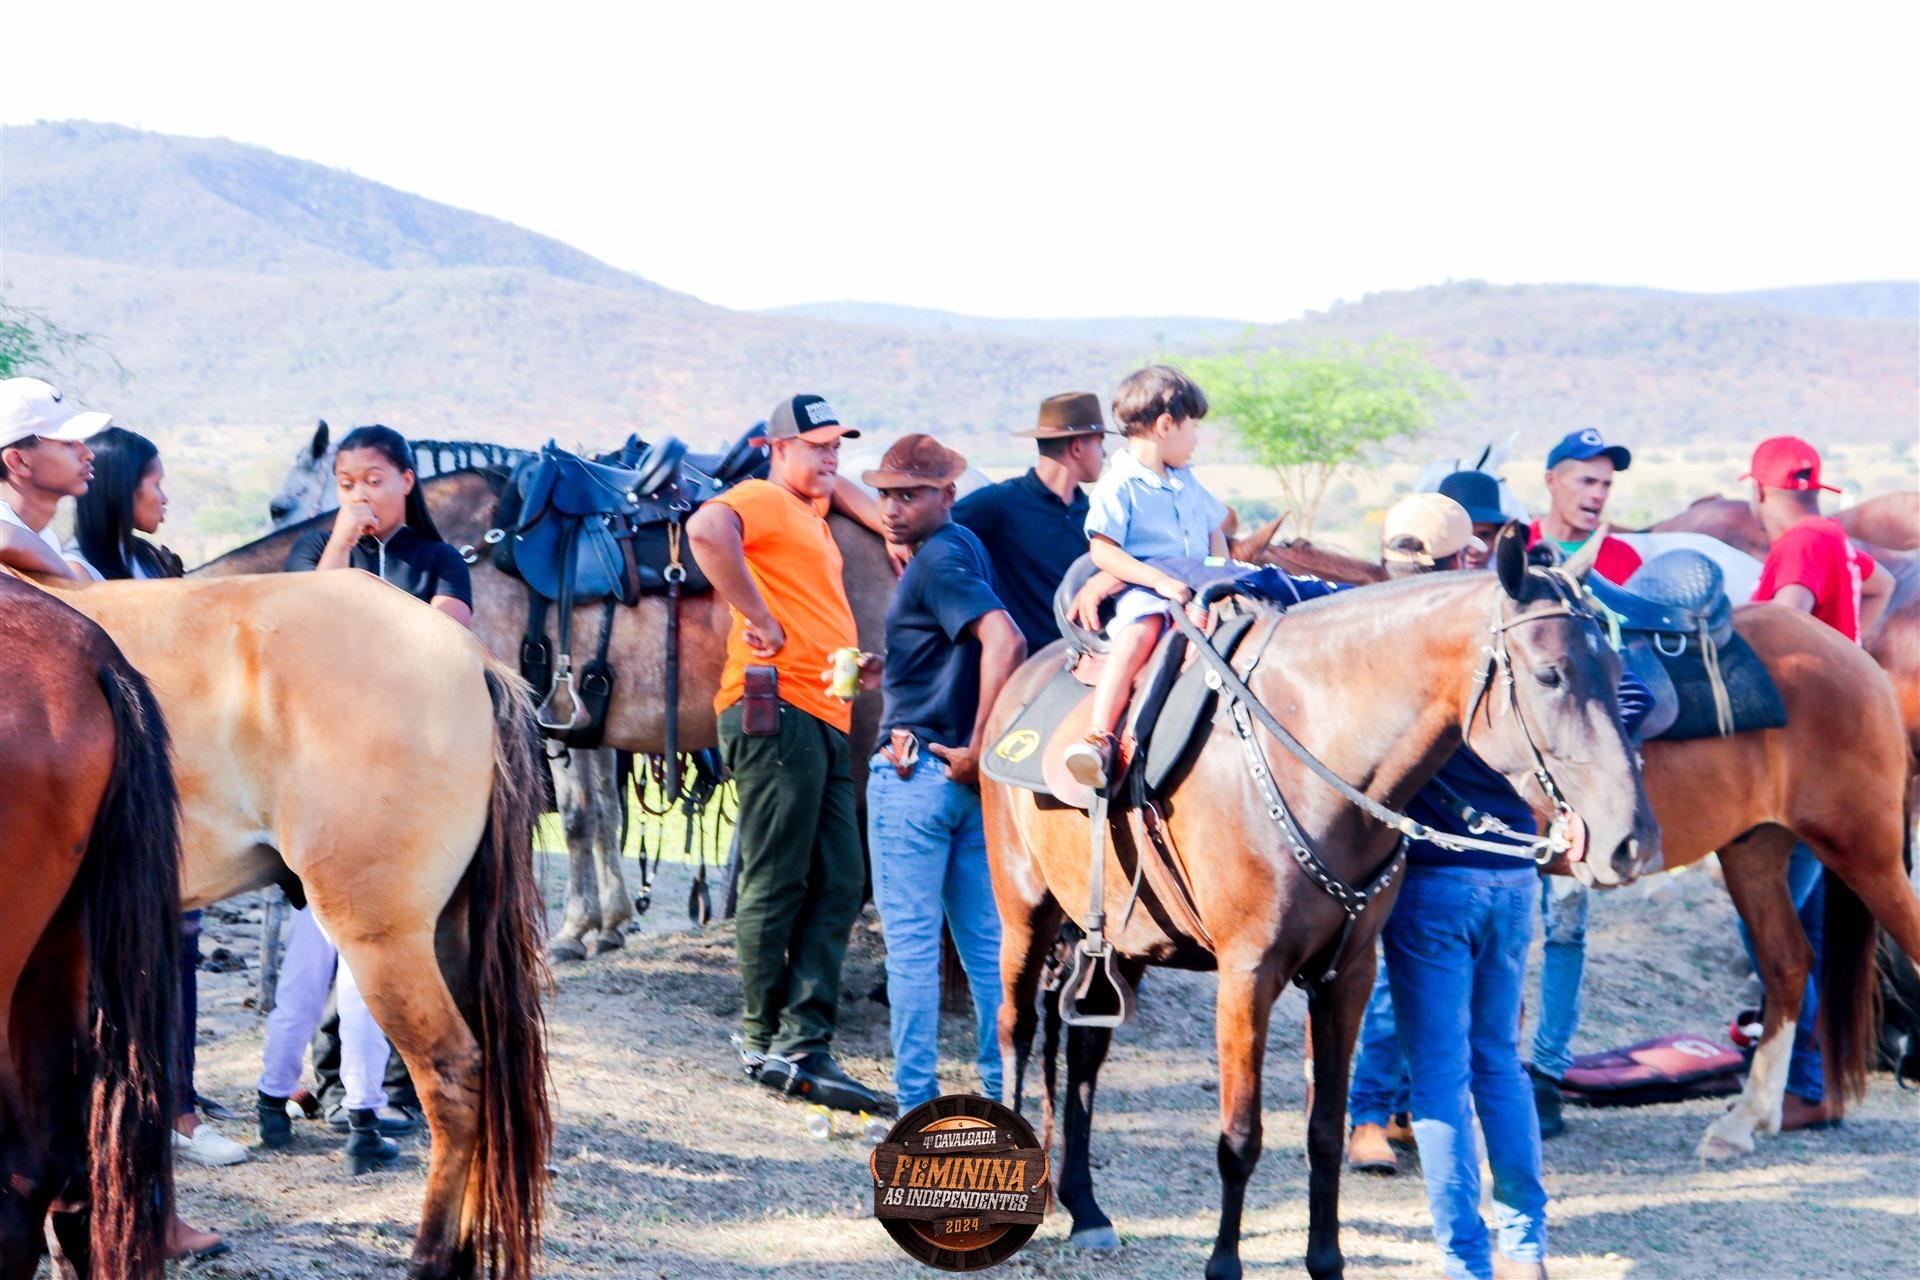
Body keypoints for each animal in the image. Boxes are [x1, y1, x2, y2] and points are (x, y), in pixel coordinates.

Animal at [982, 530, 1658, 1280]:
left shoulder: (1347, 975)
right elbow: (1239, 1137)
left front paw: (1326, 1260)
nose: (1631, 841)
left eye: (1616, 669)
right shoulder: (1248, 975)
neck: (1315, 750)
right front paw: (1224, 1265)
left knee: (1085, 1052)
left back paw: (1088, 1208)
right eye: (1550, 676)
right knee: (1015, 1027)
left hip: (1123, 941)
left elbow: (1326, 1132)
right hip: (1024, 911)